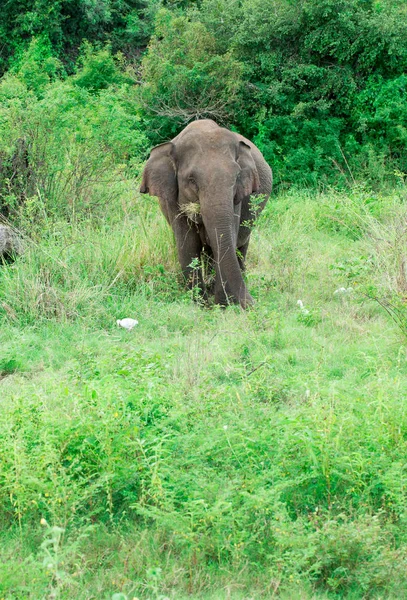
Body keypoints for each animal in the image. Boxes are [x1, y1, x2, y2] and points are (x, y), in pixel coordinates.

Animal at [140, 119, 274, 308]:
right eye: (192, 180)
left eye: (236, 177)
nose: (251, 304)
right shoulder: (171, 199)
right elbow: (188, 244)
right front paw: (202, 305)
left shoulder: (237, 199)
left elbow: (226, 239)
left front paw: (220, 304)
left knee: (239, 244)